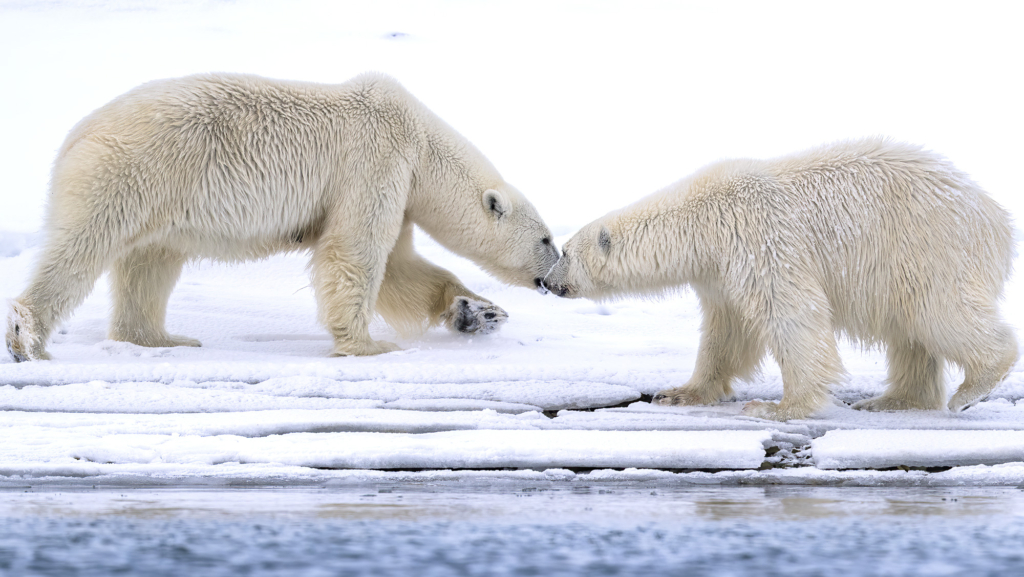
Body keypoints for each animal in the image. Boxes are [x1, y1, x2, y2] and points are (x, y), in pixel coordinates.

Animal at [4, 72, 561, 360]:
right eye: (547, 240)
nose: (556, 276)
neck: (421, 141)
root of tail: (76, 136)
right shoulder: (374, 163)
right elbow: (355, 253)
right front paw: (370, 345)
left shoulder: (398, 190)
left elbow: (401, 269)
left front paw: (480, 312)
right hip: (130, 173)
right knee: (82, 248)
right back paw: (27, 338)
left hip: (159, 200)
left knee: (149, 264)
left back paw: (162, 337)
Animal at [544, 138, 1015, 422]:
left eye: (564, 251)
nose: (548, 281)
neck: (704, 220)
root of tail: (997, 218)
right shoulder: (717, 273)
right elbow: (727, 333)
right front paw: (678, 392)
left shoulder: (758, 237)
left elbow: (793, 315)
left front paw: (777, 407)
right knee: (910, 335)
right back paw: (892, 400)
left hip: (929, 250)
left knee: (940, 315)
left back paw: (973, 386)